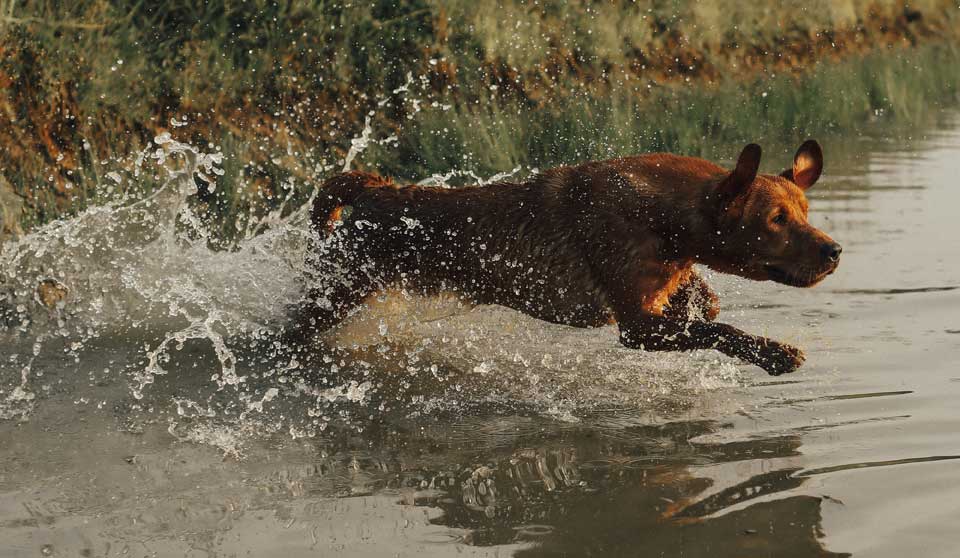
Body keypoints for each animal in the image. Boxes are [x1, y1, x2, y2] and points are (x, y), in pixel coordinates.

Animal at [292, 141, 840, 376]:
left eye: (805, 212)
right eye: (776, 220)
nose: (835, 252)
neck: (662, 215)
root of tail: (377, 191)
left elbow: (703, 303)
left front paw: (699, 294)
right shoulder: (638, 328)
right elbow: (718, 331)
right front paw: (773, 352)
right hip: (334, 297)